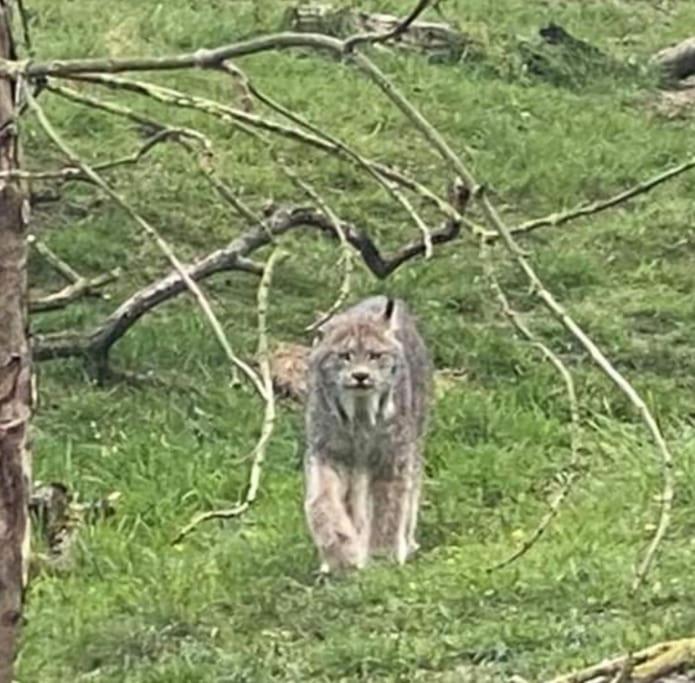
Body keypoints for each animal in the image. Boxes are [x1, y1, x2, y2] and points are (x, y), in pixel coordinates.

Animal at [304, 296, 433, 572]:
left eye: (375, 356)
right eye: (345, 356)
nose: (361, 376)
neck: (360, 416)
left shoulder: (393, 456)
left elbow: (389, 506)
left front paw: (383, 557)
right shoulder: (328, 451)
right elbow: (320, 501)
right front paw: (341, 555)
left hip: (415, 438)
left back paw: (406, 543)